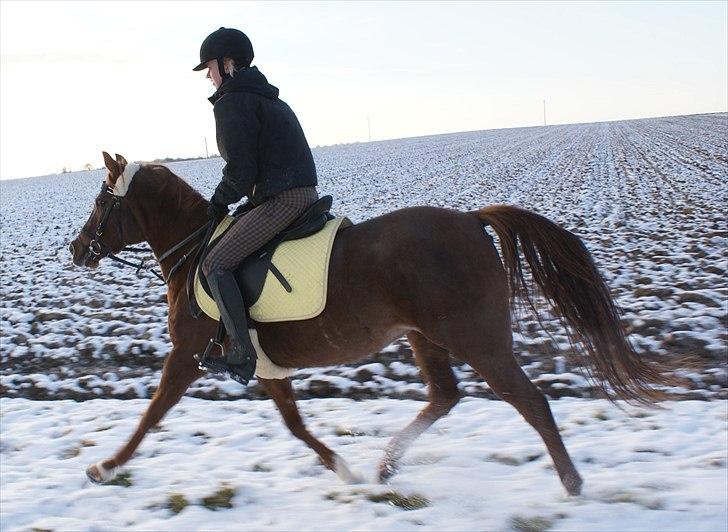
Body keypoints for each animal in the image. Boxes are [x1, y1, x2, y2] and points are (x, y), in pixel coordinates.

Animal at [68, 151, 664, 494]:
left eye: (101, 199)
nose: (75, 250)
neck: (194, 252)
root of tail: (472, 222)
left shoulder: (187, 356)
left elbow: (152, 414)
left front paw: (106, 468)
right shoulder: (265, 365)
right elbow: (294, 423)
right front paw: (343, 469)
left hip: (478, 342)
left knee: (530, 402)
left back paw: (572, 483)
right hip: (426, 338)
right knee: (444, 397)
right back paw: (385, 468)